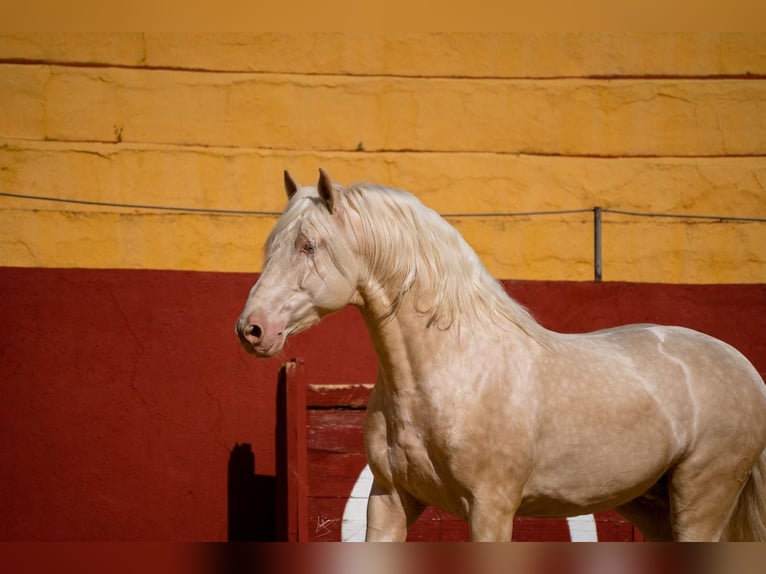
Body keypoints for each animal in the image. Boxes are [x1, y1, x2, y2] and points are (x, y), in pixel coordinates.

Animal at [236, 169, 766, 544]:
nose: (252, 329)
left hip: (702, 500)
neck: (453, 371)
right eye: (272, 246)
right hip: (651, 505)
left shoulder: (490, 509)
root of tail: (744, 368)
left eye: (309, 245)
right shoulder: (388, 501)